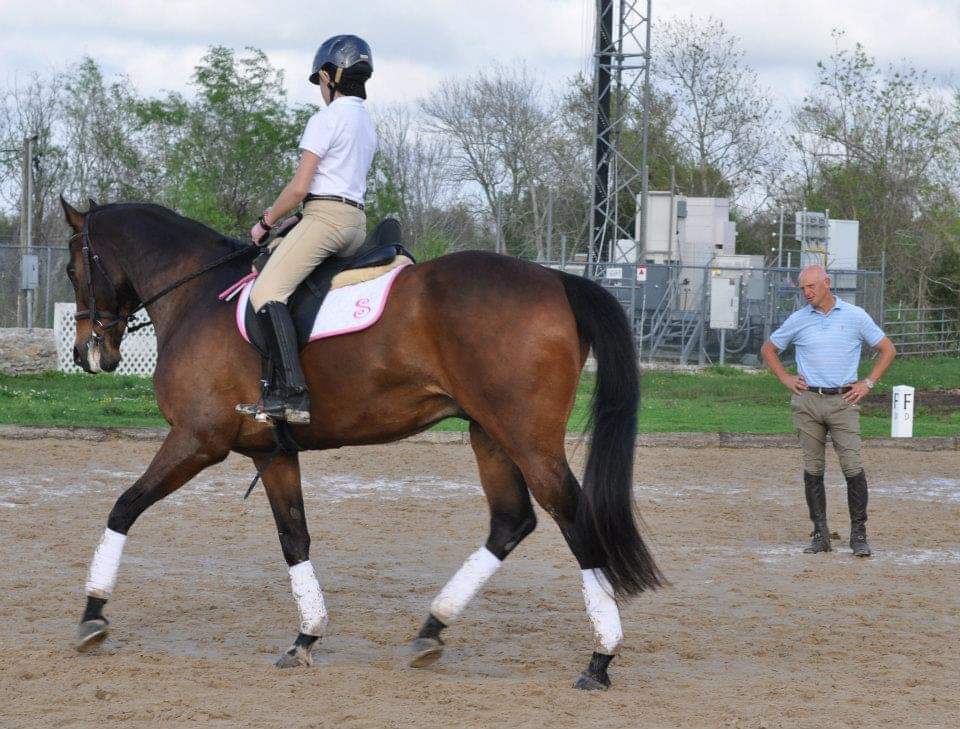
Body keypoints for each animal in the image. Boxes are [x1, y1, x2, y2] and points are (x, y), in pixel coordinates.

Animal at [60, 198, 660, 688]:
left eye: (72, 268)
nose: (88, 353)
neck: (197, 295)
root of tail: (558, 281)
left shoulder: (196, 440)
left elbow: (124, 506)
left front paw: (93, 614)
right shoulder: (272, 452)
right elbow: (294, 538)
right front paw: (306, 636)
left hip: (527, 440)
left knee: (572, 517)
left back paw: (601, 657)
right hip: (490, 434)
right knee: (511, 522)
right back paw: (433, 628)